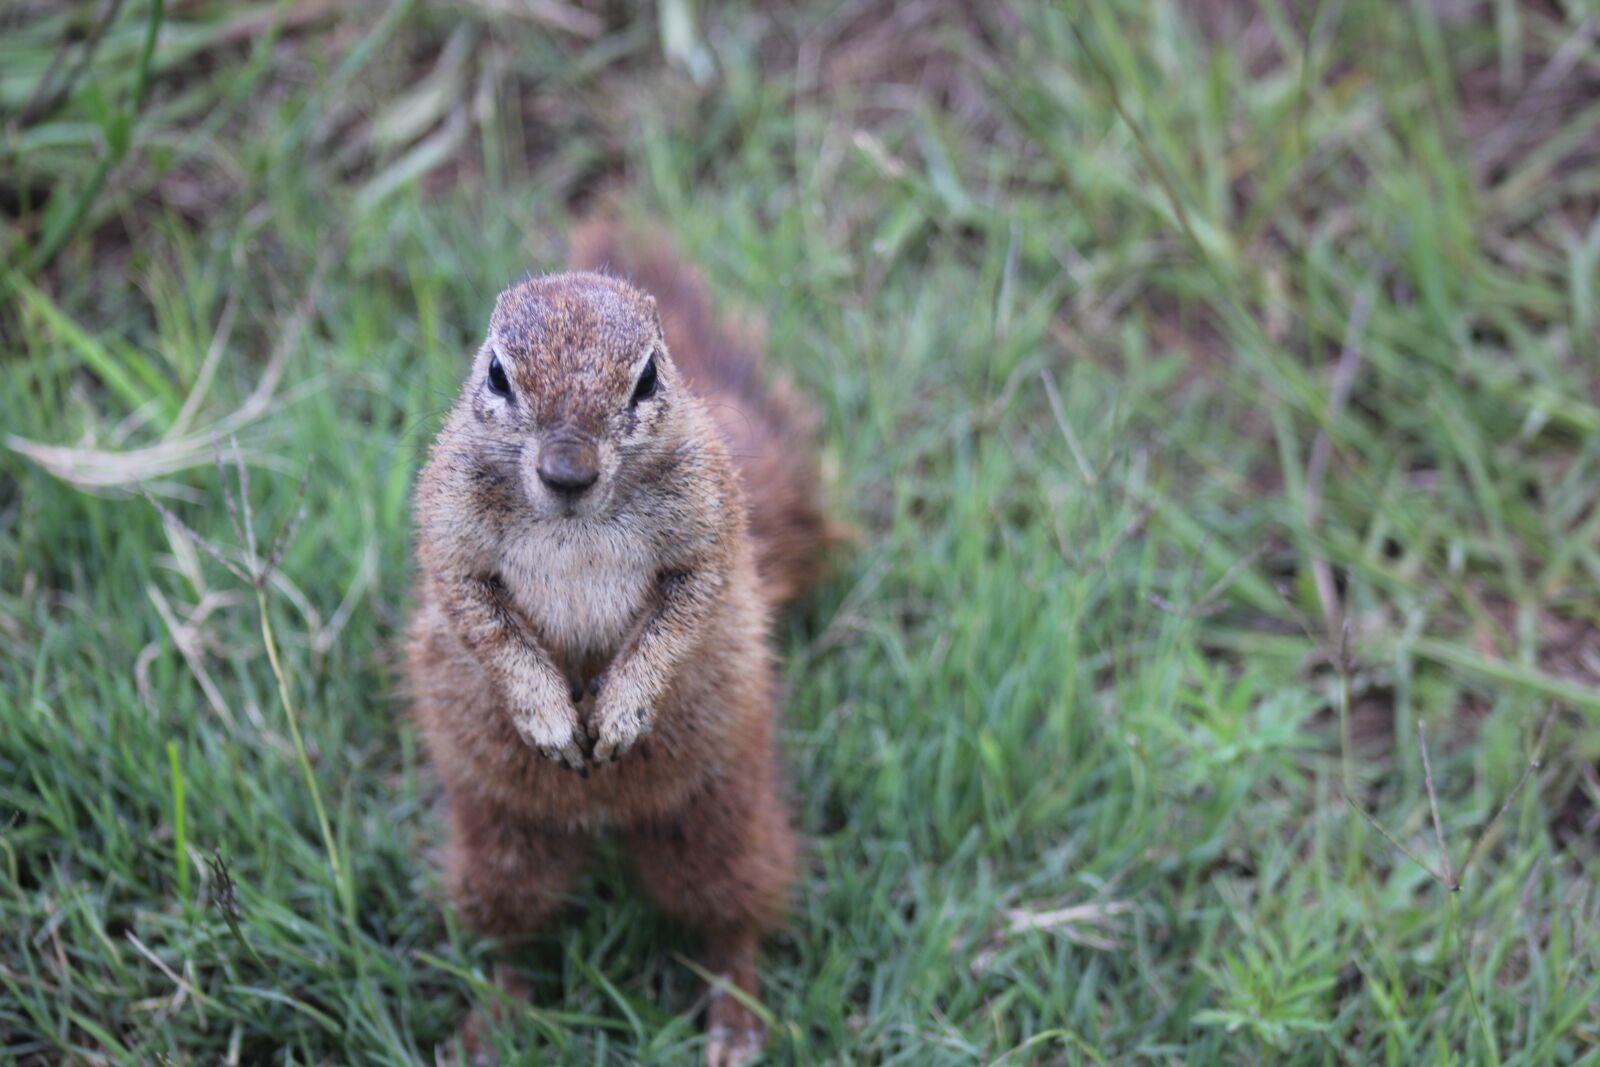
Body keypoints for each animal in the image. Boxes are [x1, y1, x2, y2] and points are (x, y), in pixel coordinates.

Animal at [406, 219, 838, 1066]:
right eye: (498, 373)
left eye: (646, 379)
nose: (567, 470)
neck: (576, 521)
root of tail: (602, 817)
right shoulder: (449, 530)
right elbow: (479, 616)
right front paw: (547, 714)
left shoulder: (710, 525)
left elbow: (684, 613)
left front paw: (622, 709)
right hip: (501, 843)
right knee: (515, 931)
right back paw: (490, 1021)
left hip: (718, 812)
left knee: (733, 913)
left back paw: (733, 1019)